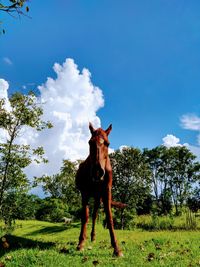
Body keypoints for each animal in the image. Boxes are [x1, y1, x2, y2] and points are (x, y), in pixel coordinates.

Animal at [75, 123, 123, 258]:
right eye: (90, 142)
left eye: (107, 143)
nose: (97, 171)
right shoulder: (84, 193)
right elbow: (85, 217)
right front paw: (81, 243)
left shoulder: (106, 192)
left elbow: (109, 217)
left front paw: (116, 248)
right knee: (92, 215)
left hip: (98, 197)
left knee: (95, 215)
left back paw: (93, 237)